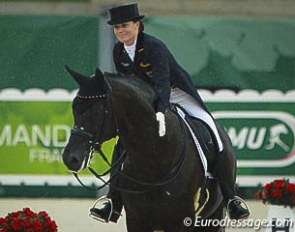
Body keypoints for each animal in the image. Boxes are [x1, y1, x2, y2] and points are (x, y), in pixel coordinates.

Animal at [62, 66, 236, 231]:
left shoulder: (182, 221)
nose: (70, 158)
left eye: (97, 111)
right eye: (74, 108)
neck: (154, 159)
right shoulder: (136, 220)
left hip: (214, 216)